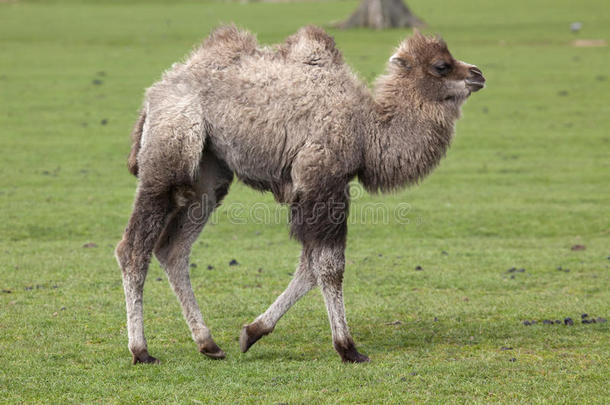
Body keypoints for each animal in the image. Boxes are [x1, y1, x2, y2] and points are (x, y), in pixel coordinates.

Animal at [114, 24, 484, 362]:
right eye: (441, 65)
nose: (478, 74)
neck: (367, 129)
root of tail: (155, 93)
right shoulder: (323, 180)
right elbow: (329, 266)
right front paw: (348, 348)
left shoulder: (315, 189)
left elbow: (309, 266)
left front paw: (252, 332)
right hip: (170, 154)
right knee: (133, 247)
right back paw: (141, 350)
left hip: (209, 174)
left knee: (173, 249)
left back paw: (209, 344)